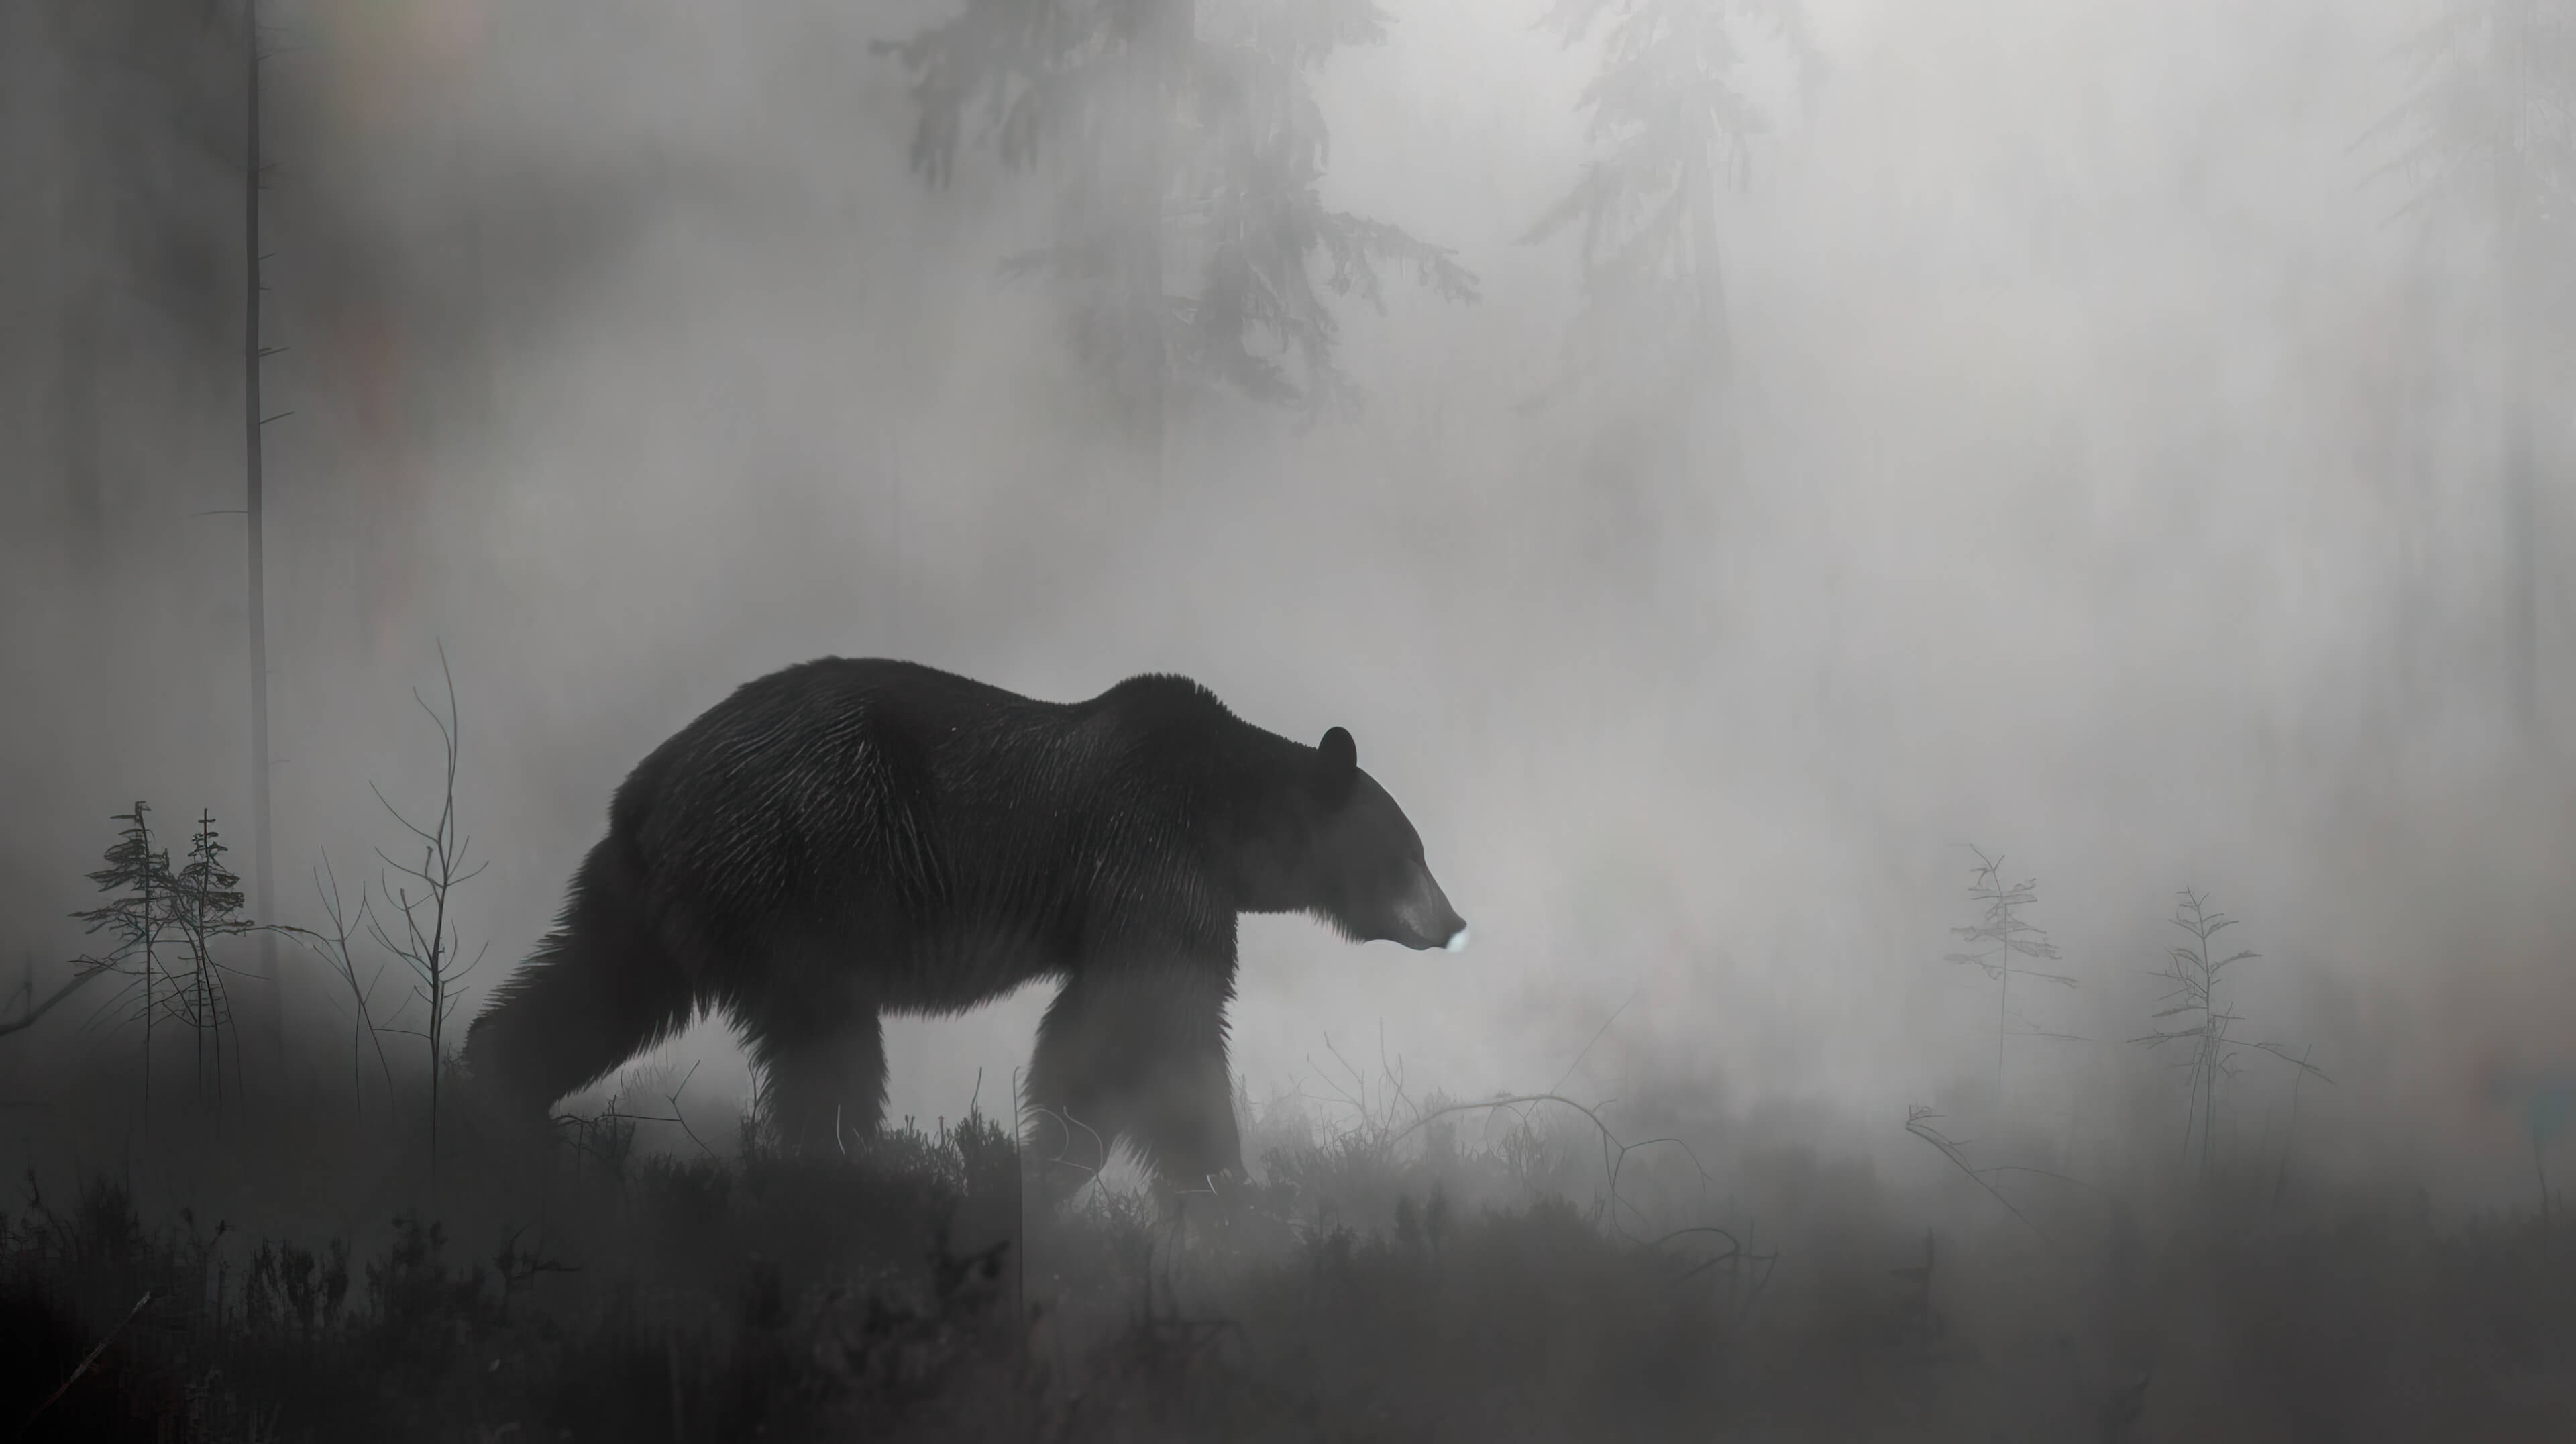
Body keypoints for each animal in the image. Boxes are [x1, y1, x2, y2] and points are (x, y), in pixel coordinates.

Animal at [459, 657, 1467, 1194]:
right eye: (1411, 848)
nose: (1455, 920)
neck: (1227, 813)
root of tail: (648, 788)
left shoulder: (1124, 892)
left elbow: (1092, 1032)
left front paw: (1050, 1161)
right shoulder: (1150, 848)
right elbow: (1161, 1018)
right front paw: (1213, 1182)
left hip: (654, 897)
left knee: (592, 986)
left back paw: (501, 1096)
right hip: (795, 869)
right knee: (826, 1045)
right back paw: (846, 1166)